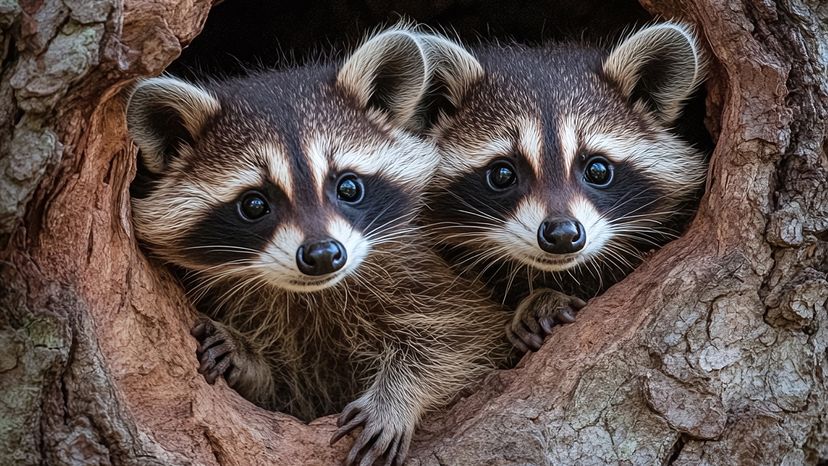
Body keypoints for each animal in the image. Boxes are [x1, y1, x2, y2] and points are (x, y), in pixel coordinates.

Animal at [127, 27, 511, 466]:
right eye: (254, 204)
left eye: (348, 187)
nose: (324, 255)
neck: (315, 294)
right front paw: (246, 355)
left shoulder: (426, 269)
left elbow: (463, 336)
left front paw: (398, 395)